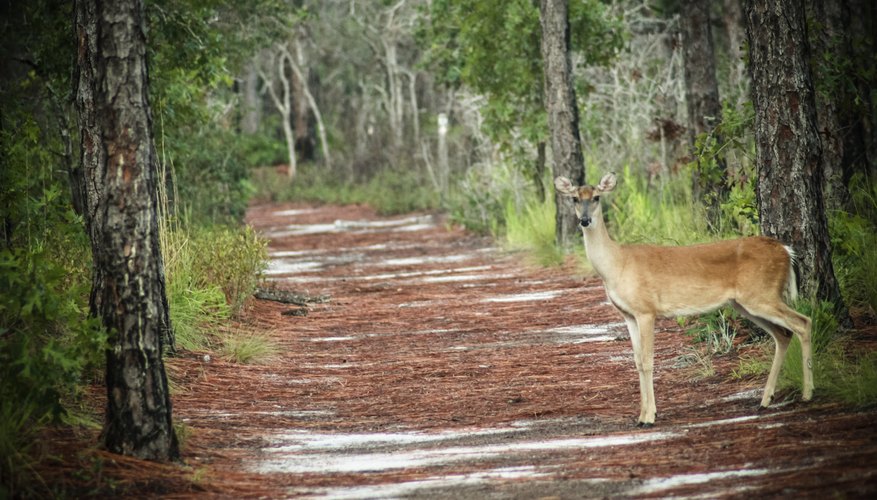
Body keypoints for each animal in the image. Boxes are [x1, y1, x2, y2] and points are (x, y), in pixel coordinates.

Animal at [556, 172, 816, 426]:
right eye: (575, 198)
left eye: (597, 197)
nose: (585, 220)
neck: (616, 265)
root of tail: (786, 251)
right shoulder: (628, 314)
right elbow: (637, 361)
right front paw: (641, 415)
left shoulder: (646, 310)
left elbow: (648, 361)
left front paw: (649, 418)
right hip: (746, 302)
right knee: (783, 334)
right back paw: (765, 400)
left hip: (761, 294)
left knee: (803, 322)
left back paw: (807, 394)